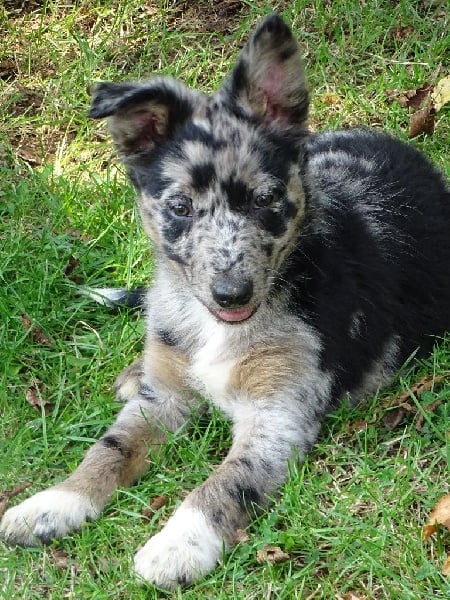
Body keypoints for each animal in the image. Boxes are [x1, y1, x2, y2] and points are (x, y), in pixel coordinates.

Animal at [1, 14, 449, 590]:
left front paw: (179, 543)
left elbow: (225, 481)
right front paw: (54, 502)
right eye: (180, 208)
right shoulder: (162, 400)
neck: (217, 324)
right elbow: (108, 449)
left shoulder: (278, 417)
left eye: (265, 199)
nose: (231, 293)